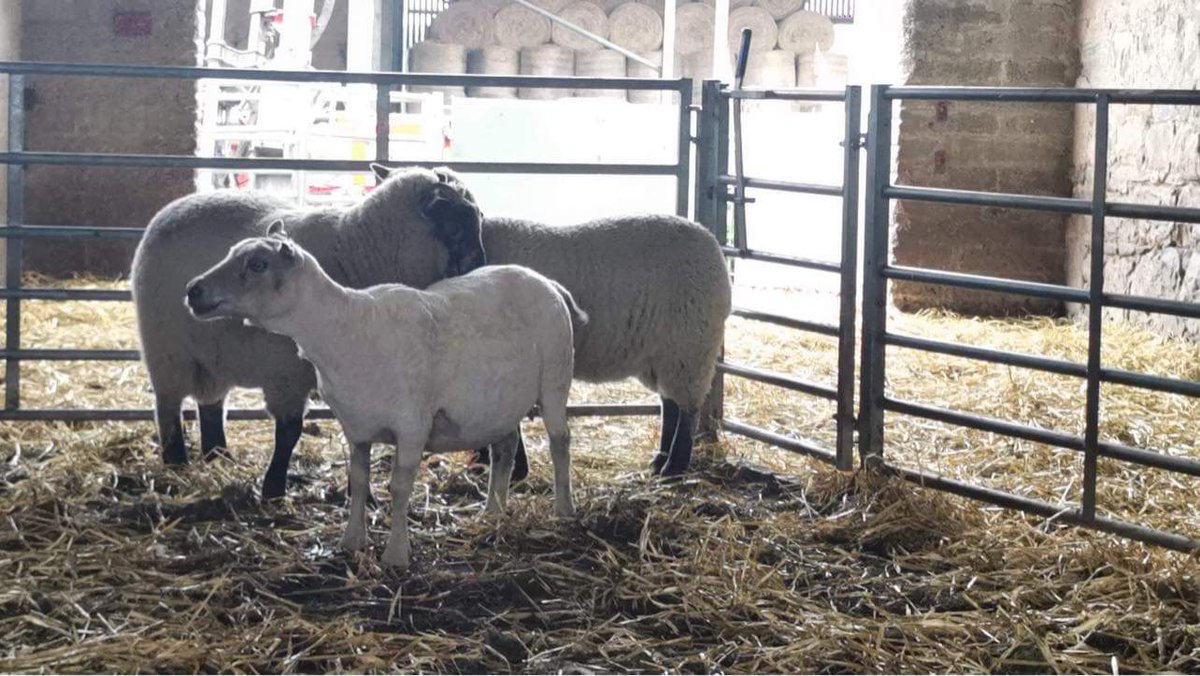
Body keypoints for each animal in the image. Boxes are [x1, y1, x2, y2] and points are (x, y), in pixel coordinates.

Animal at [130, 166, 486, 499]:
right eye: (458, 222)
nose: (480, 267)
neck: (357, 252)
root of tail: (170, 208)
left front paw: (361, 494)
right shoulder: (286, 373)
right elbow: (289, 431)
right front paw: (274, 487)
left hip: (213, 354)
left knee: (211, 403)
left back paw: (219, 456)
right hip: (167, 351)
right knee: (168, 407)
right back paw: (177, 462)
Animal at [184, 222, 584, 567]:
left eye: (258, 264)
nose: (193, 290)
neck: (343, 329)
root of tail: (546, 282)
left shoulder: (412, 425)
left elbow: (399, 486)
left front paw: (396, 554)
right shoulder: (355, 426)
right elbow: (359, 483)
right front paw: (351, 541)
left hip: (556, 376)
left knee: (559, 441)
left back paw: (564, 510)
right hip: (499, 403)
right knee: (505, 449)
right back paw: (492, 512)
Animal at [373, 165, 733, 478]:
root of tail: (713, 245)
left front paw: (512, 470)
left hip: (690, 344)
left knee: (687, 407)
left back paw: (674, 467)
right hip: (665, 352)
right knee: (670, 403)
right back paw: (660, 461)